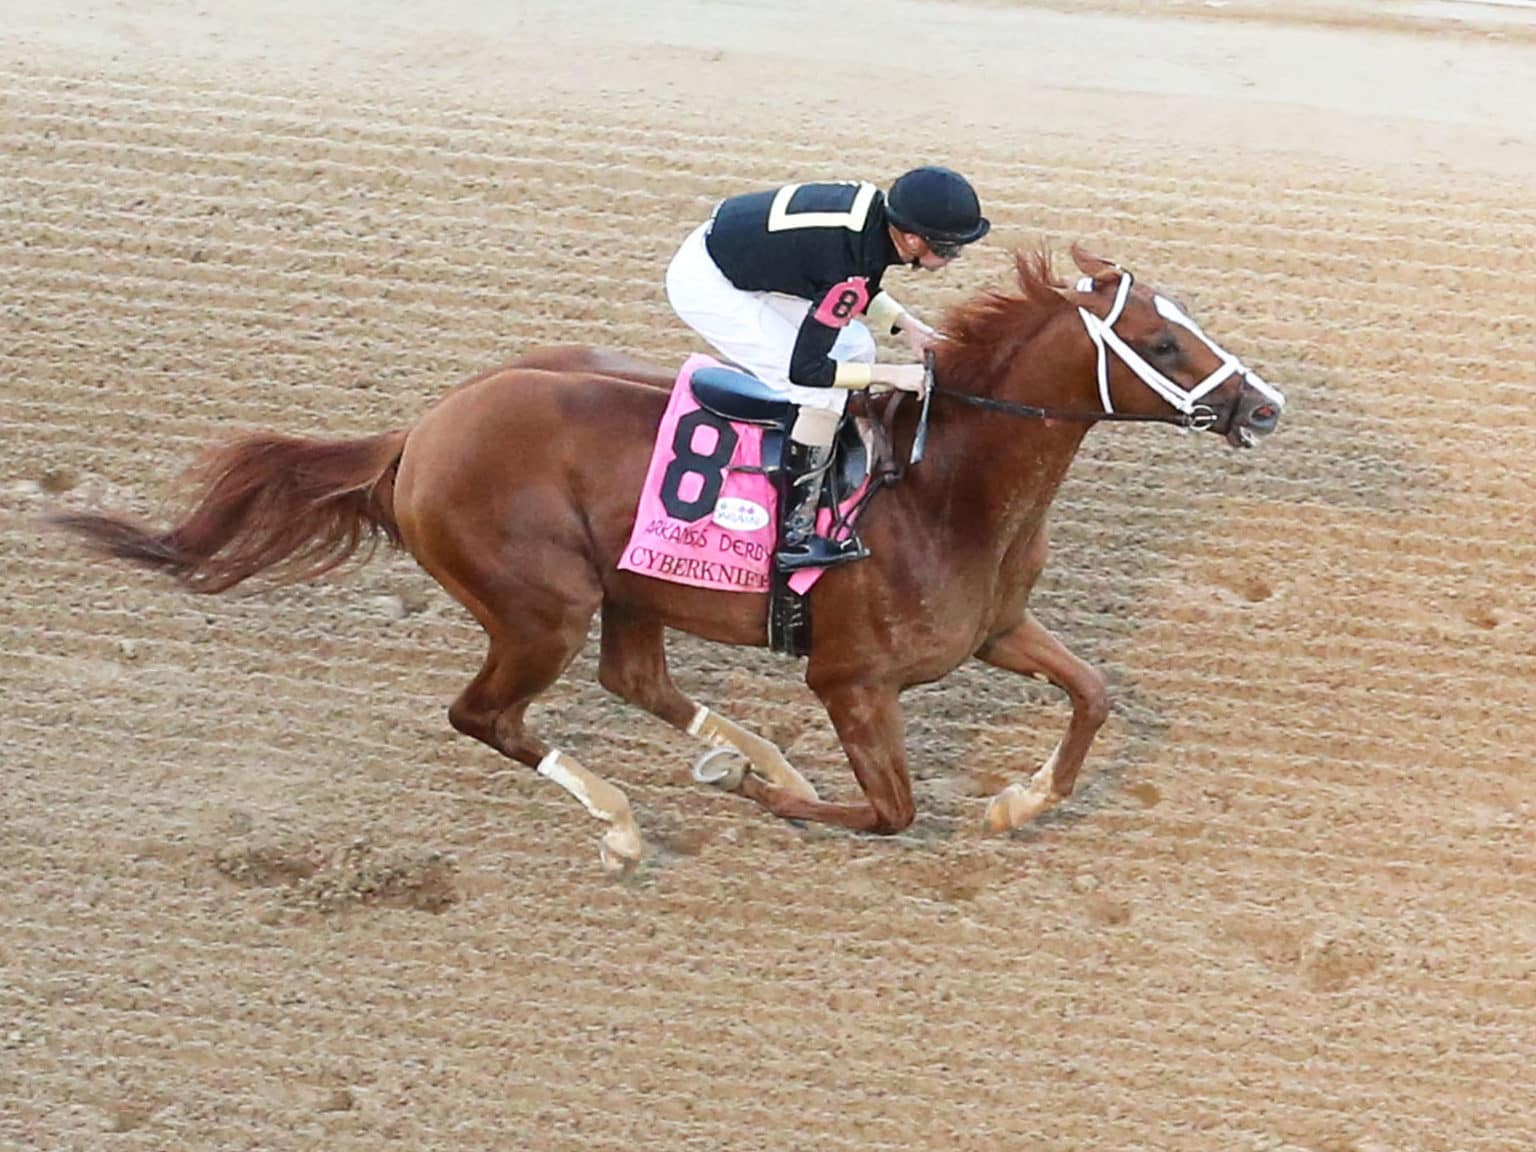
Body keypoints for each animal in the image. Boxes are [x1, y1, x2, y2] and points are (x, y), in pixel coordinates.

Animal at [48, 245, 1285, 872]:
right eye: (1164, 341)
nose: (1264, 407)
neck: (945, 485)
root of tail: (420, 433)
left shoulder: (998, 631)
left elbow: (1094, 695)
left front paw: (1018, 805)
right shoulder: (852, 679)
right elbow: (891, 812)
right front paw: (770, 802)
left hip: (627, 586)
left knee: (633, 680)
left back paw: (743, 759)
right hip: (540, 603)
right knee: (487, 715)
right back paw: (629, 819)